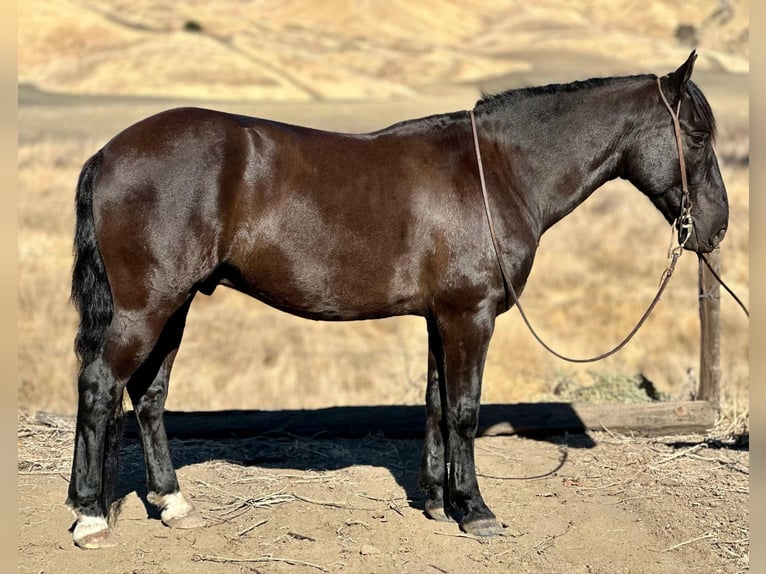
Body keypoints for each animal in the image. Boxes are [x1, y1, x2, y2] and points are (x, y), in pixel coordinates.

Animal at [69, 53, 728, 548]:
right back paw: (91, 516)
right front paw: (477, 511)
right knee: (101, 385)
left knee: (148, 394)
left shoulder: (442, 318)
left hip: (175, 305)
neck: (496, 172)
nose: (715, 227)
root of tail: (108, 153)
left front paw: (437, 501)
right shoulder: (470, 317)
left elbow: (436, 406)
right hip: (147, 306)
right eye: (697, 135)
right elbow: (465, 411)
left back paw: (172, 503)